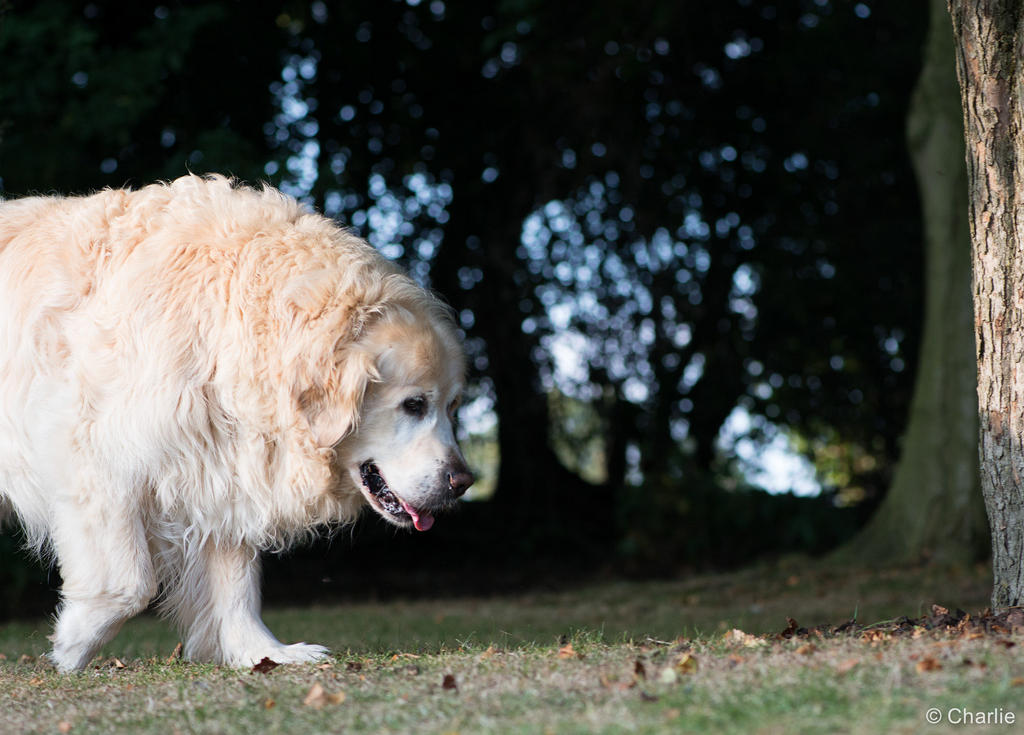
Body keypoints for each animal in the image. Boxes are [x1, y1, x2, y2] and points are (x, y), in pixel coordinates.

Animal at [0, 177, 471, 675]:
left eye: (453, 406)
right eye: (414, 405)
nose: (462, 482)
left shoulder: (224, 462)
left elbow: (235, 581)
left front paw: (264, 651)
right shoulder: (92, 452)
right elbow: (131, 581)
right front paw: (73, 645)